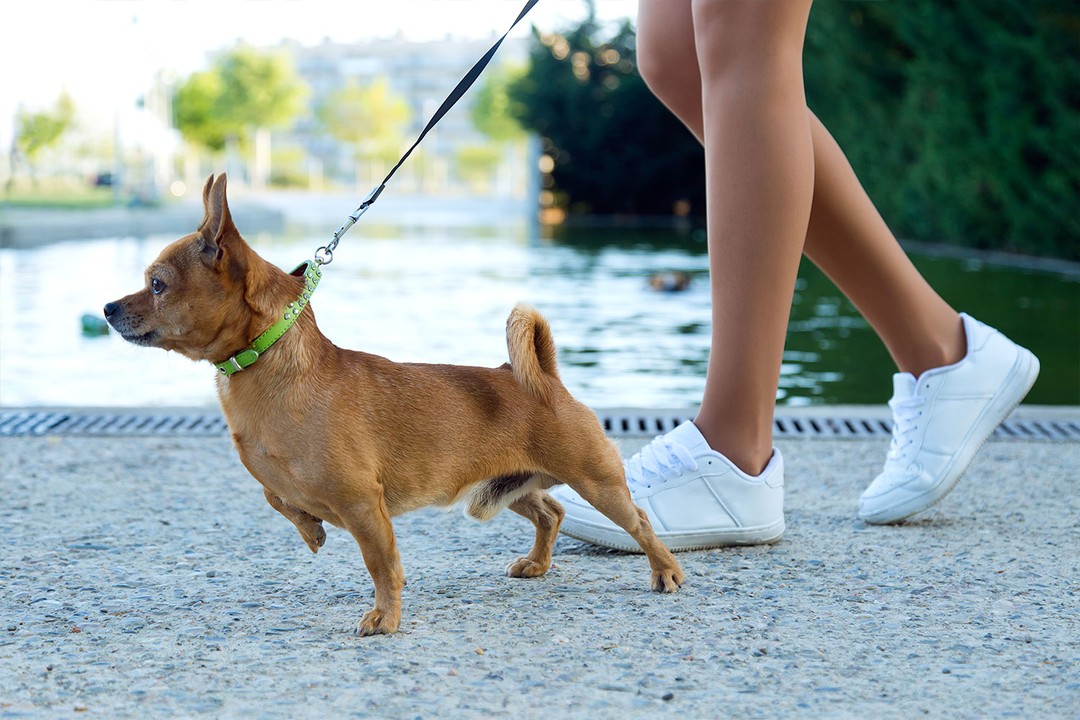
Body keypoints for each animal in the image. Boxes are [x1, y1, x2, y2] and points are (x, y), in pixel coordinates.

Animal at [107, 175, 682, 634]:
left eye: (156, 285)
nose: (108, 307)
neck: (265, 361)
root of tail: (543, 377)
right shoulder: (285, 481)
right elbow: (277, 496)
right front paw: (312, 529)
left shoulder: (364, 505)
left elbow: (382, 566)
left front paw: (385, 618)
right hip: (504, 486)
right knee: (552, 511)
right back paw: (538, 564)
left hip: (596, 481)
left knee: (638, 521)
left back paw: (665, 571)